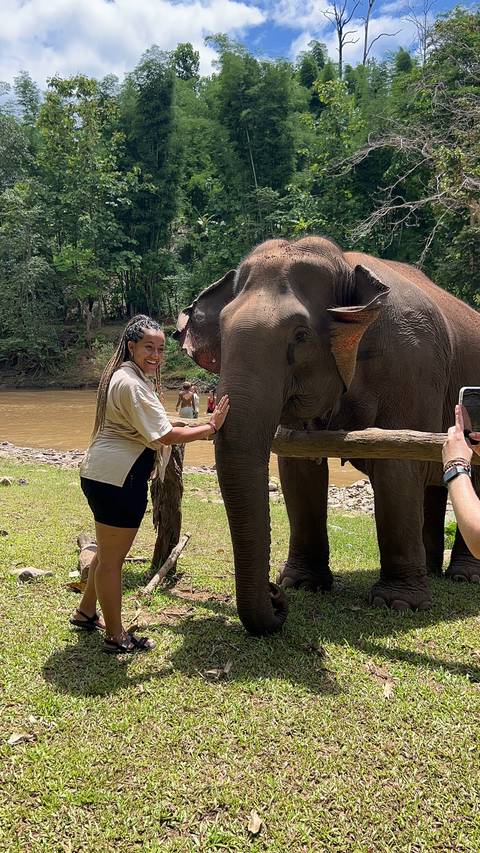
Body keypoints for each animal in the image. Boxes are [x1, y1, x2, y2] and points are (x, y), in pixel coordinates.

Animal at [175, 236, 480, 636]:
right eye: (222, 334)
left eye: (301, 335)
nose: (274, 595)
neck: (346, 266)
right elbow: (298, 467)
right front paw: (302, 585)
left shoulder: (412, 364)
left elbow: (396, 467)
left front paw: (398, 604)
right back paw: (432, 569)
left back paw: (463, 577)